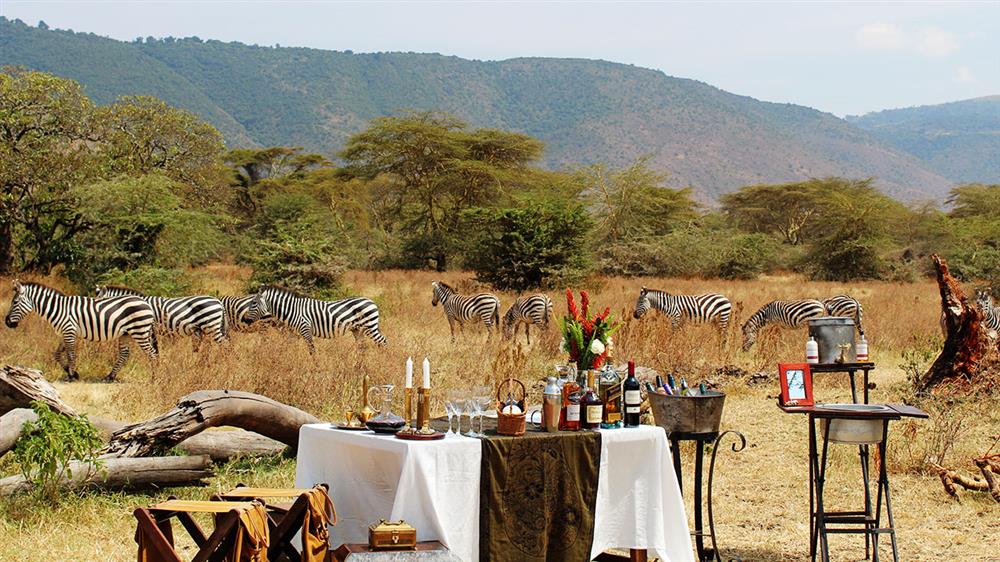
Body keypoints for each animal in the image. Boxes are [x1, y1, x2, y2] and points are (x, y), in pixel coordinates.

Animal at [3, 280, 157, 380]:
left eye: (15, 302)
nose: (7, 322)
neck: (58, 308)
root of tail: (146, 303)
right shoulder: (64, 333)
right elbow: (57, 354)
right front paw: (71, 372)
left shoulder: (69, 331)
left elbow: (71, 355)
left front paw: (71, 376)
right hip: (126, 334)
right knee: (124, 355)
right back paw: (110, 376)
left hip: (140, 331)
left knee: (152, 355)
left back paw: (154, 379)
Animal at [248, 284, 388, 350]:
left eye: (254, 303)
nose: (247, 320)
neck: (293, 310)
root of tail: (371, 301)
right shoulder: (293, 334)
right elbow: (288, 348)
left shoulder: (305, 329)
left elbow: (312, 351)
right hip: (358, 329)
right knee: (362, 348)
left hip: (370, 326)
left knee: (383, 342)